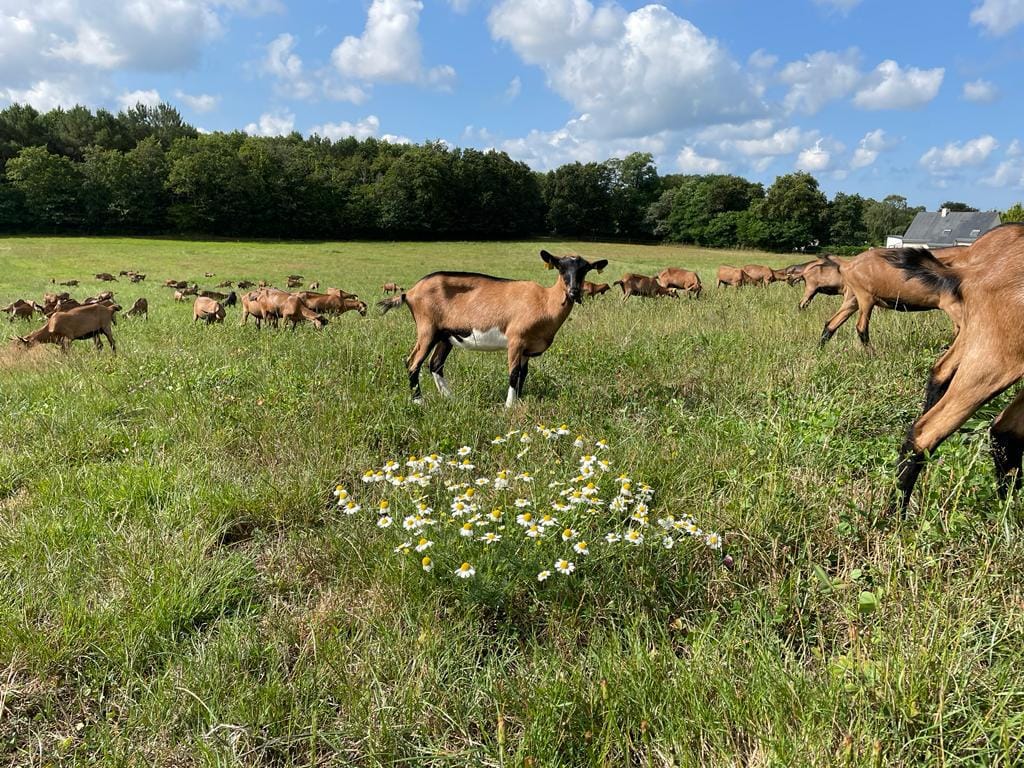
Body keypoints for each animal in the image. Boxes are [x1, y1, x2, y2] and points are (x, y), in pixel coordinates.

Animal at [378, 250, 602, 409]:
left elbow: (523, 374)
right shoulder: (516, 340)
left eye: (585, 269)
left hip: (445, 335)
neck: (545, 302)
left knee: (435, 364)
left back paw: (450, 398)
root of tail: (410, 293)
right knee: (413, 362)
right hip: (427, 329)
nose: (574, 292)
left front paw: (519, 401)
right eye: (560, 268)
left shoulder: (527, 348)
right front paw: (509, 406)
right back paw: (419, 401)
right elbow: (513, 373)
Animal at [819, 249, 962, 348]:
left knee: (831, 323)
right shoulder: (951, 305)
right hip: (865, 297)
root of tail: (846, 264)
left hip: (852, 299)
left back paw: (820, 350)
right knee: (861, 327)